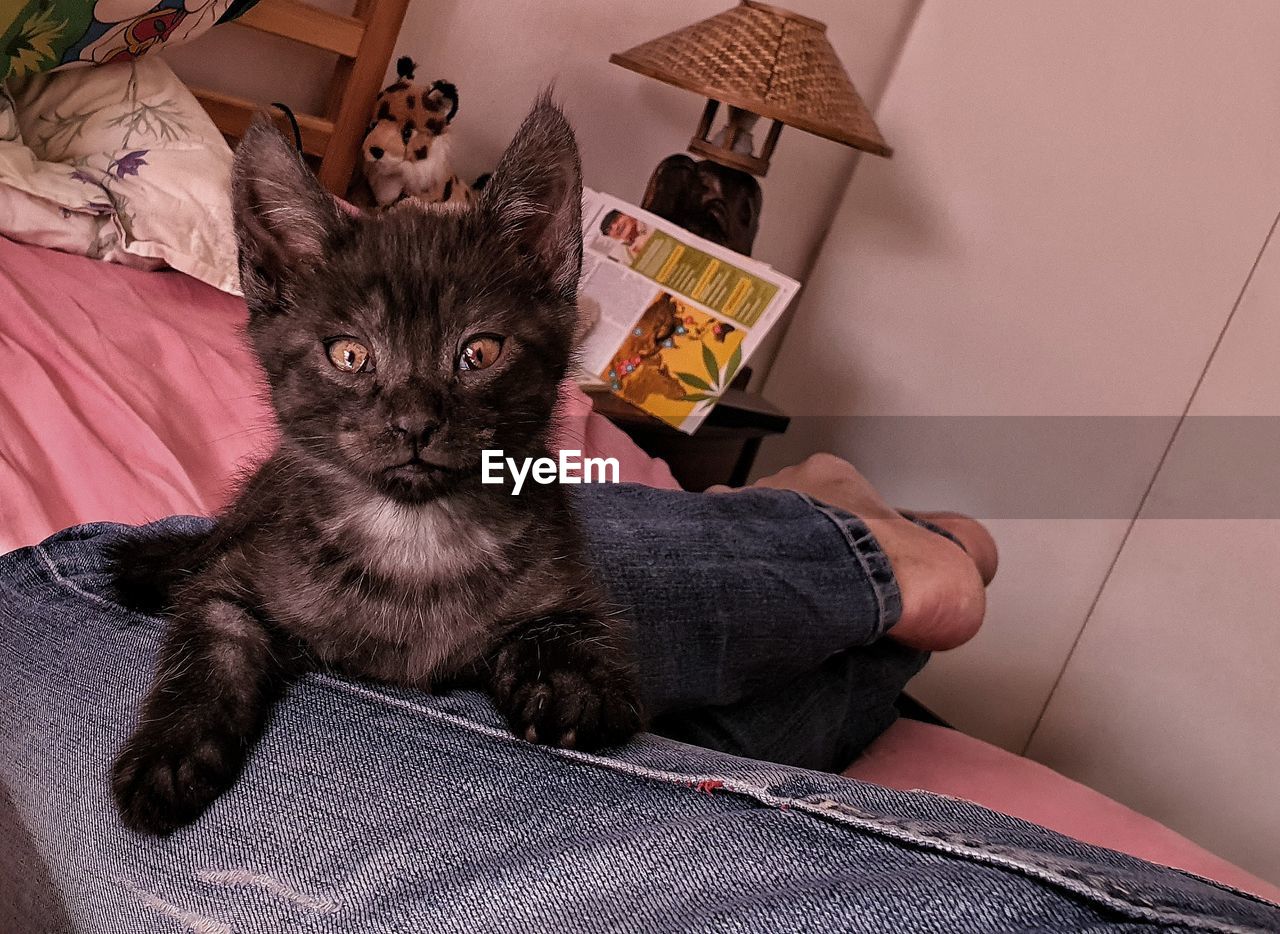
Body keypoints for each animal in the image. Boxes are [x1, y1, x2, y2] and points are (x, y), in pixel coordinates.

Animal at [112, 98, 640, 834]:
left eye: (479, 352)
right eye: (350, 355)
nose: (414, 421)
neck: (414, 537)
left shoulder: (565, 579)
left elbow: (567, 630)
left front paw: (568, 685)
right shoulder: (242, 572)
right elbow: (212, 635)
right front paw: (169, 754)